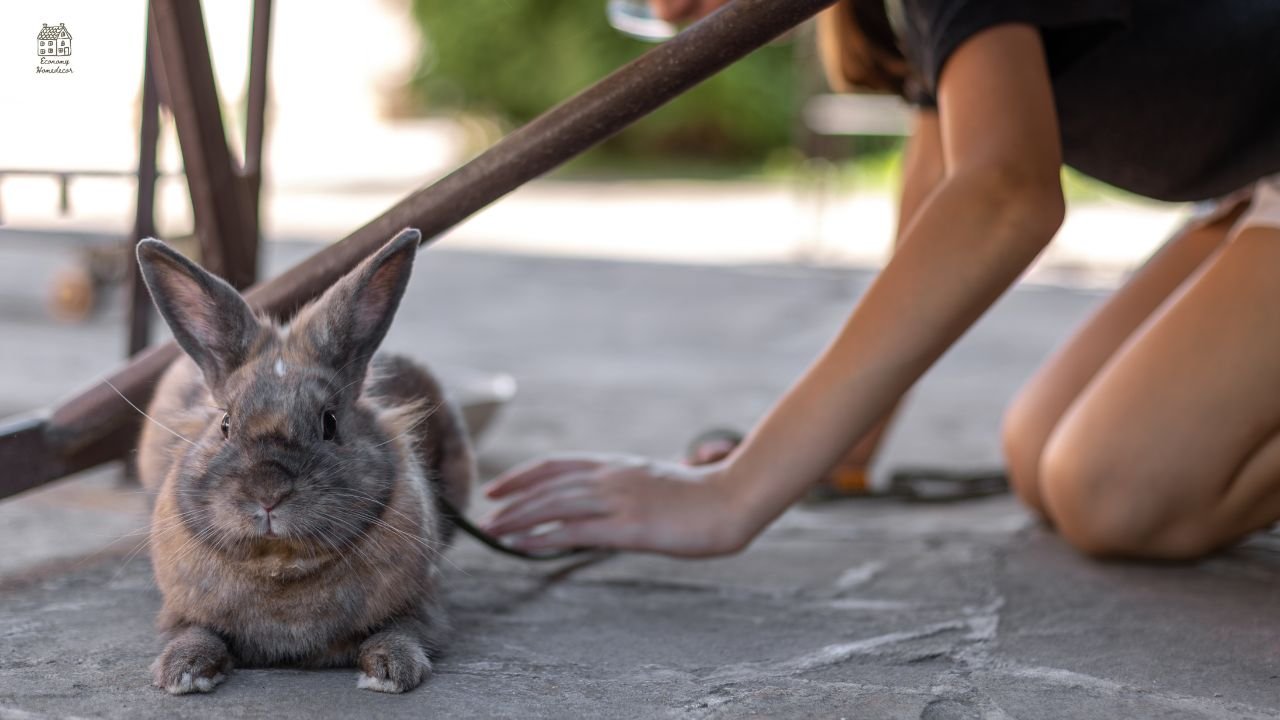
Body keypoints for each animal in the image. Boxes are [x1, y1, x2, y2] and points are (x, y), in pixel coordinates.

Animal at [134, 228, 474, 695]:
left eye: (328, 422)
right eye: (225, 423)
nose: (268, 493)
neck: (280, 564)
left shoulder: (423, 607)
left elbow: (400, 631)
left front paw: (390, 671)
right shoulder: (181, 613)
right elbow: (195, 633)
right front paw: (182, 672)